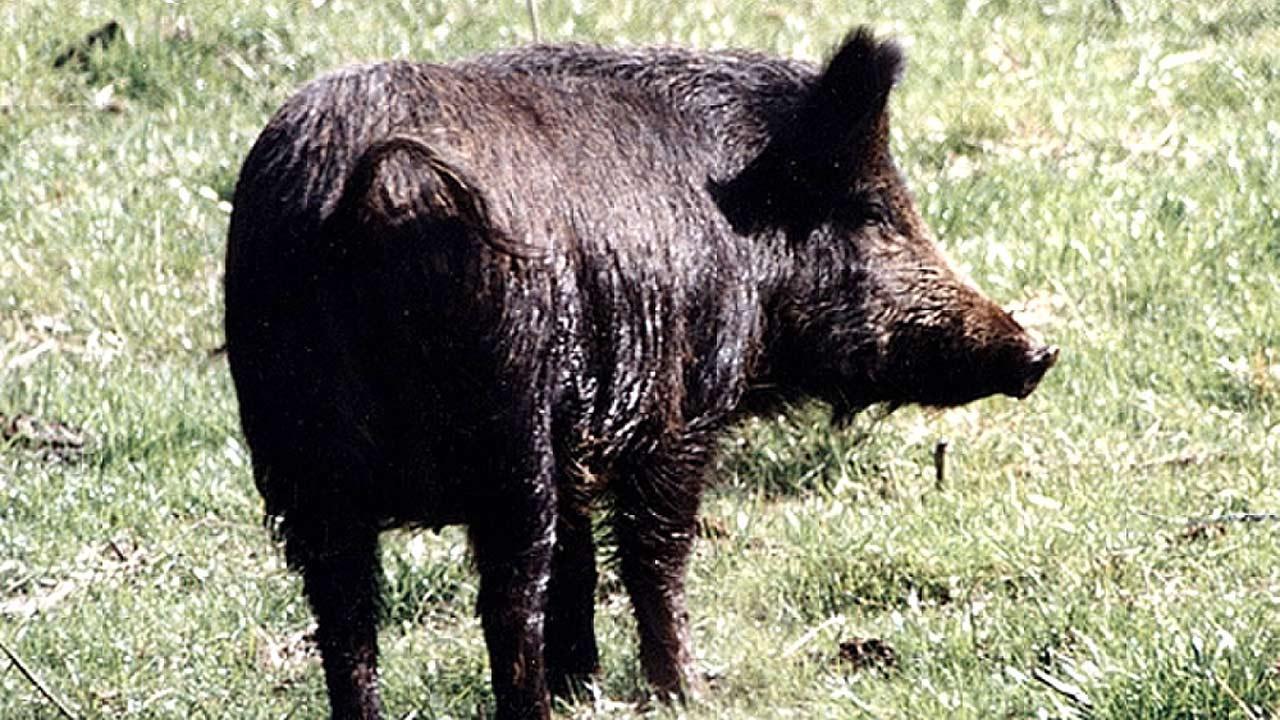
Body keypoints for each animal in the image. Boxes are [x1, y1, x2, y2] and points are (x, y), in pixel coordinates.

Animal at [224, 27, 1058, 720]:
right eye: (874, 210)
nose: (1039, 353)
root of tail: (382, 186)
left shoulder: (580, 440)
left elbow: (583, 559)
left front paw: (586, 688)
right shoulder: (681, 410)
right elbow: (655, 552)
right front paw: (686, 693)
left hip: (302, 461)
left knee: (345, 613)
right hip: (507, 432)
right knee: (505, 597)